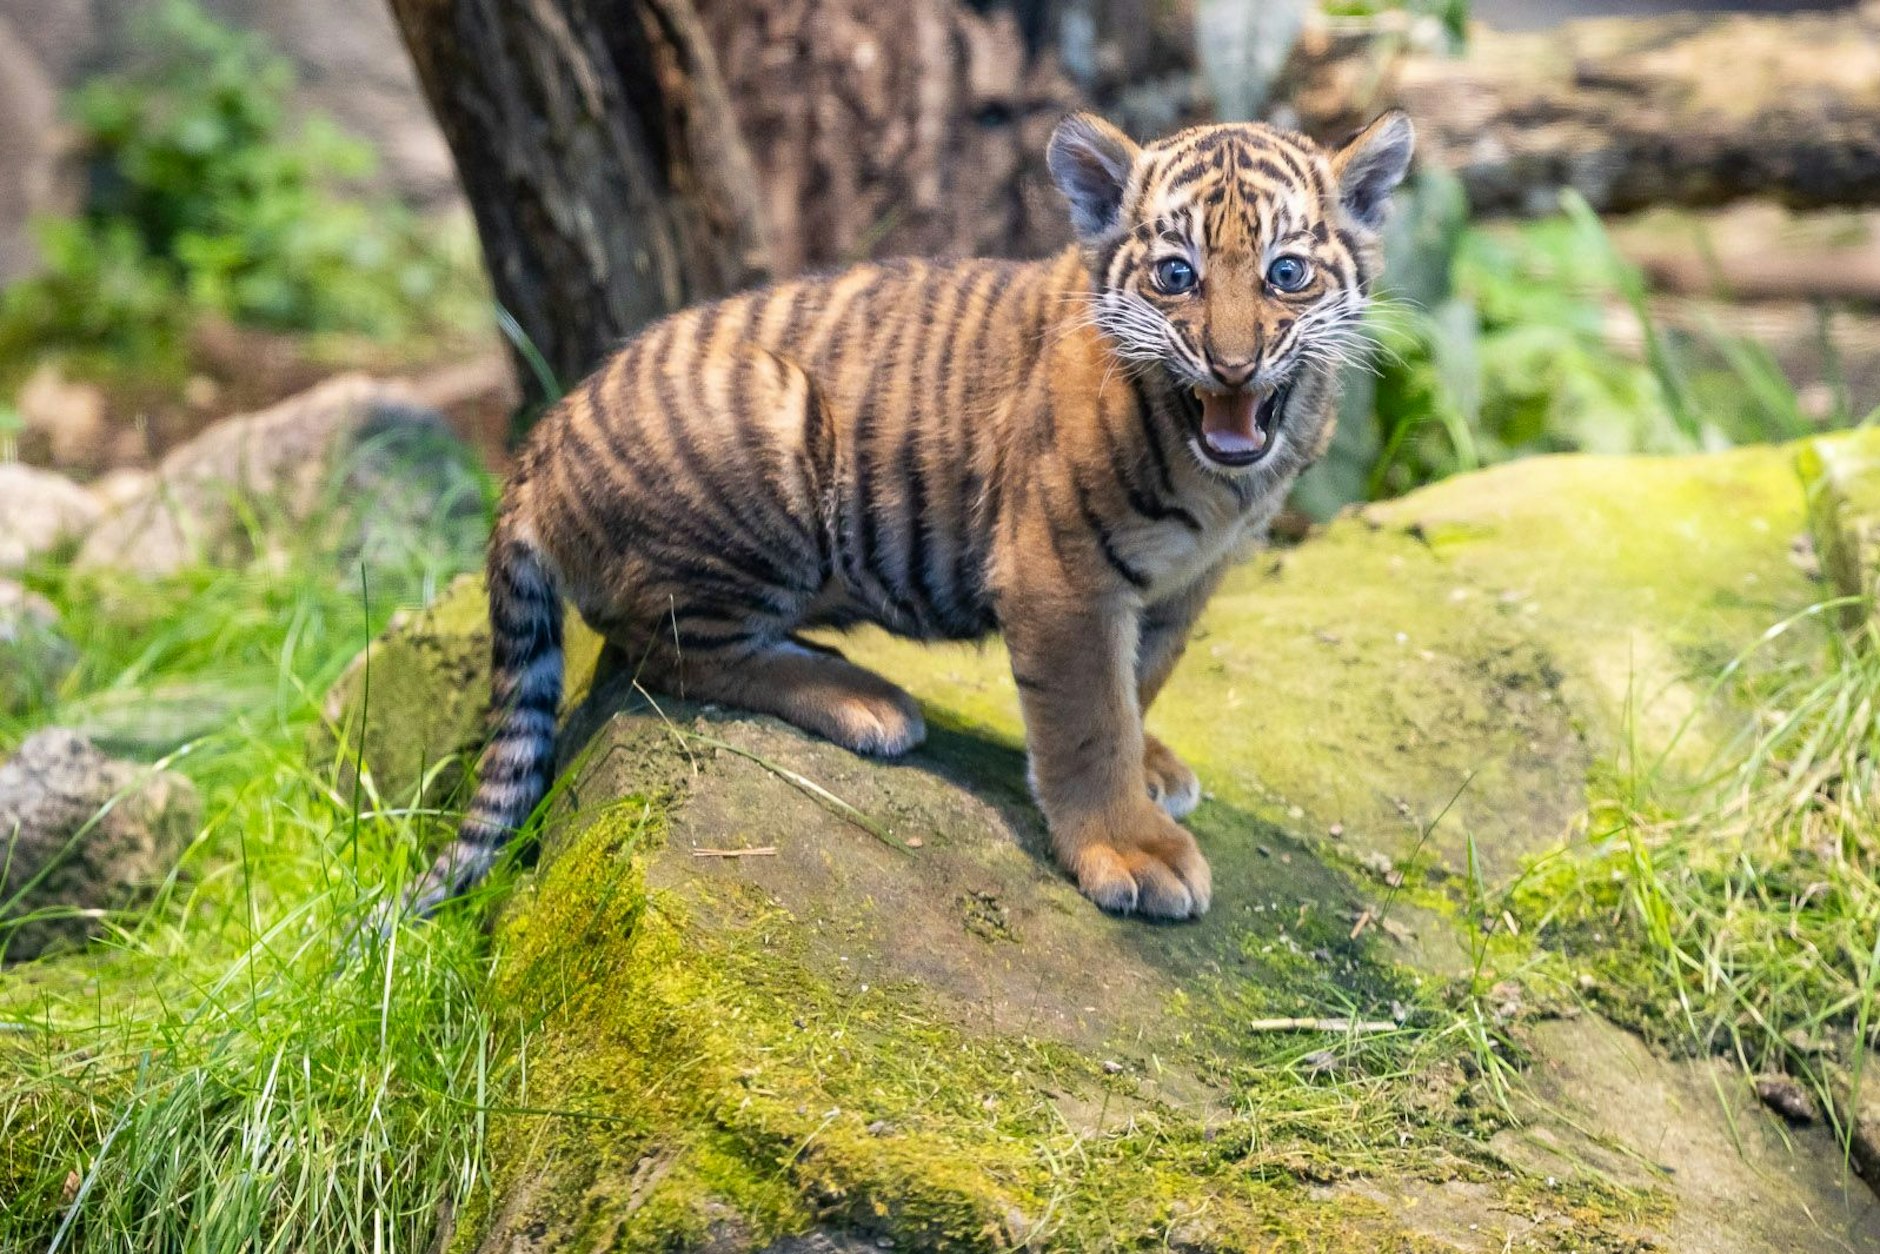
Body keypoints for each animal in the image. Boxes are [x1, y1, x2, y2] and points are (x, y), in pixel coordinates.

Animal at [406, 108, 1415, 921]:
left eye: (1286, 273)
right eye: (1176, 274)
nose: (1233, 365)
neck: (1226, 482)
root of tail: (540, 441)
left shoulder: (1185, 583)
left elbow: (1146, 678)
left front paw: (1152, 765)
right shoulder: (1060, 576)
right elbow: (1091, 718)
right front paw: (1129, 848)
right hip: (769, 439)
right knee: (659, 652)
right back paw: (864, 698)